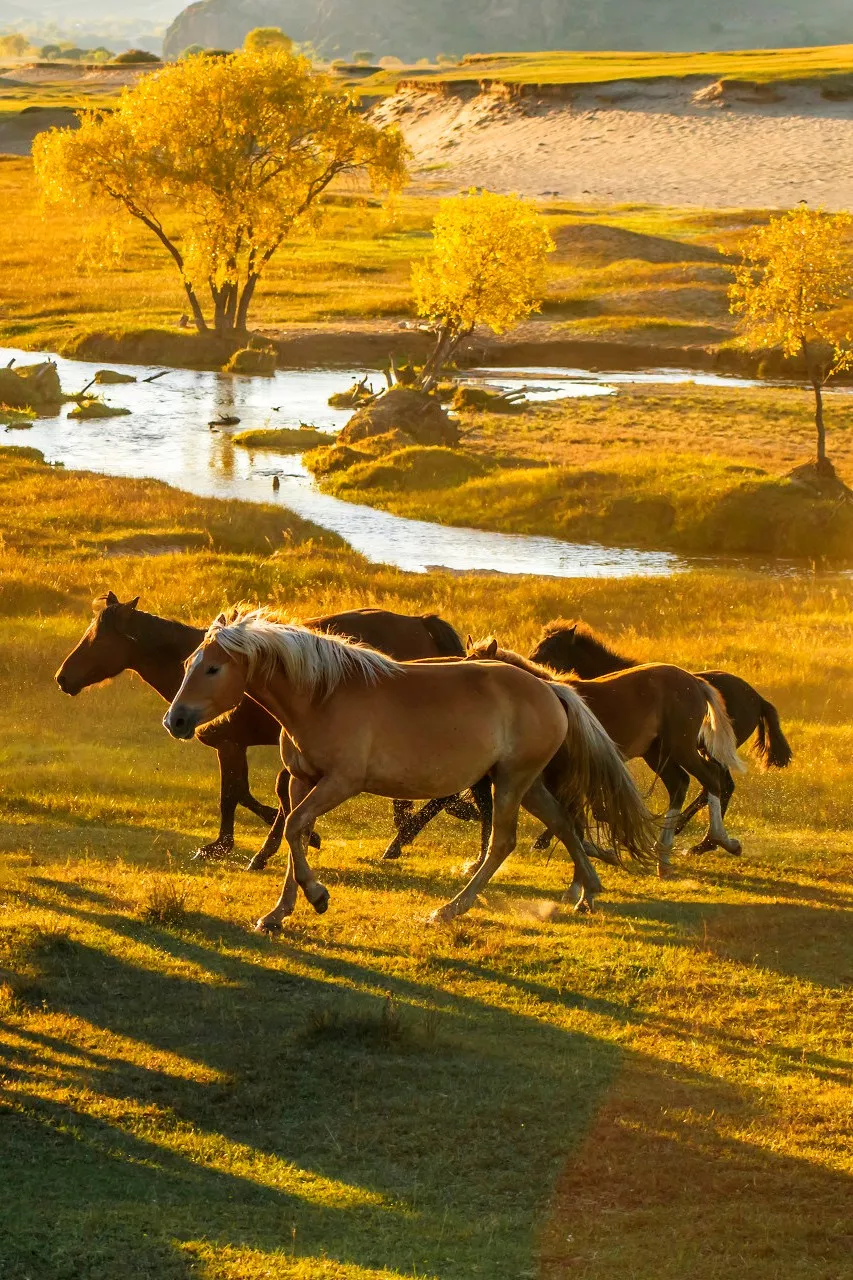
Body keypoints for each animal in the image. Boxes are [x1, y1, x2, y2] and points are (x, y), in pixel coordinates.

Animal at [54, 593, 484, 865]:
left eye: (97, 638)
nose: (62, 678)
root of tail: (422, 625)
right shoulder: (239, 747)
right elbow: (245, 792)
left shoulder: (229, 744)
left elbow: (234, 795)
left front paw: (223, 846)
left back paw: (411, 833)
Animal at [161, 611, 650, 926]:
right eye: (187, 664)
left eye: (213, 669)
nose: (175, 721)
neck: (323, 696)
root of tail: (551, 688)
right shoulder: (303, 781)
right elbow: (292, 832)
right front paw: (278, 912)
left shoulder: (341, 783)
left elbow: (297, 827)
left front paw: (317, 896)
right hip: (525, 784)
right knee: (563, 823)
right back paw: (588, 892)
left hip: (512, 782)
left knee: (502, 842)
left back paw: (450, 909)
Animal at [466, 634, 742, 875]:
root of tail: (694, 682)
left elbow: (582, 814)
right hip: (657, 752)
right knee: (680, 784)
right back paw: (663, 855)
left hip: (680, 747)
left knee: (711, 778)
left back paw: (720, 841)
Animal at [525, 616, 788, 849]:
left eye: (551, 648)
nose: (531, 662)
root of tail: (758, 699)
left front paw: (546, 838)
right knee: (713, 784)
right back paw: (698, 840)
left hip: (699, 750)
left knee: (714, 783)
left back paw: (701, 840)